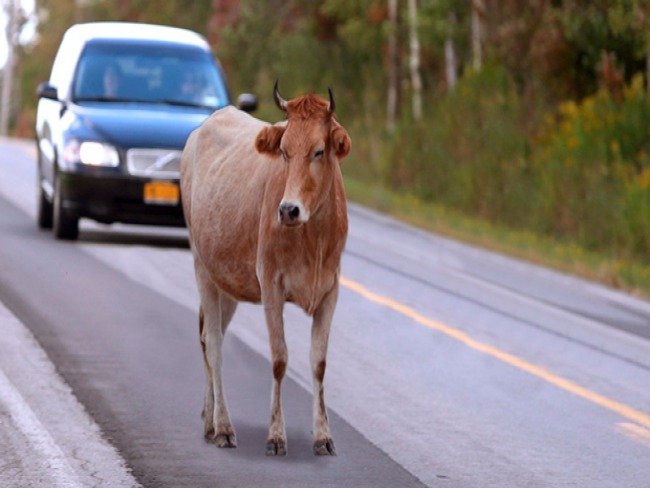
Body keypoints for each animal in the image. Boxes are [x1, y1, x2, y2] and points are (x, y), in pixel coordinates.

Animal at [177, 82, 350, 456]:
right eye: (284, 151)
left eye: (319, 151)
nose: (288, 210)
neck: (314, 238)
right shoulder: (271, 285)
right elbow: (280, 358)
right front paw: (276, 435)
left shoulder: (330, 290)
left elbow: (319, 362)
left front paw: (323, 436)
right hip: (202, 266)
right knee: (214, 343)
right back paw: (223, 427)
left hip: (227, 281)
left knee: (209, 339)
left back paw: (209, 419)